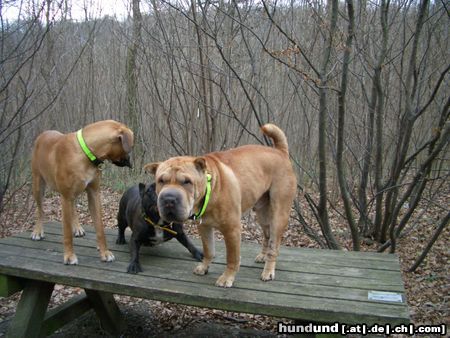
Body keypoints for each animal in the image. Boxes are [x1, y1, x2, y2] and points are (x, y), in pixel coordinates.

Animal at [31, 120, 134, 266]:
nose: (130, 161)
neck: (86, 153)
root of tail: (43, 134)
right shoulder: (65, 197)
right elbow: (67, 232)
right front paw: (69, 256)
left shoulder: (94, 194)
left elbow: (100, 228)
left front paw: (104, 252)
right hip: (38, 184)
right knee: (40, 210)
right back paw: (38, 231)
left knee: (73, 208)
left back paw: (77, 227)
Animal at [144, 123, 298, 286]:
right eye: (161, 180)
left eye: (187, 182)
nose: (169, 199)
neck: (210, 190)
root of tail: (280, 152)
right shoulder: (204, 227)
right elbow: (208, 250)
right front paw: (204, 267)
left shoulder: (232, 229)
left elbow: (232, 257)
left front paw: (227, 278)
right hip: (262, 213)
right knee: (267, 235)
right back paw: (263, 256)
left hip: (278, 214)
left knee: (274, 245)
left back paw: (268, 271)